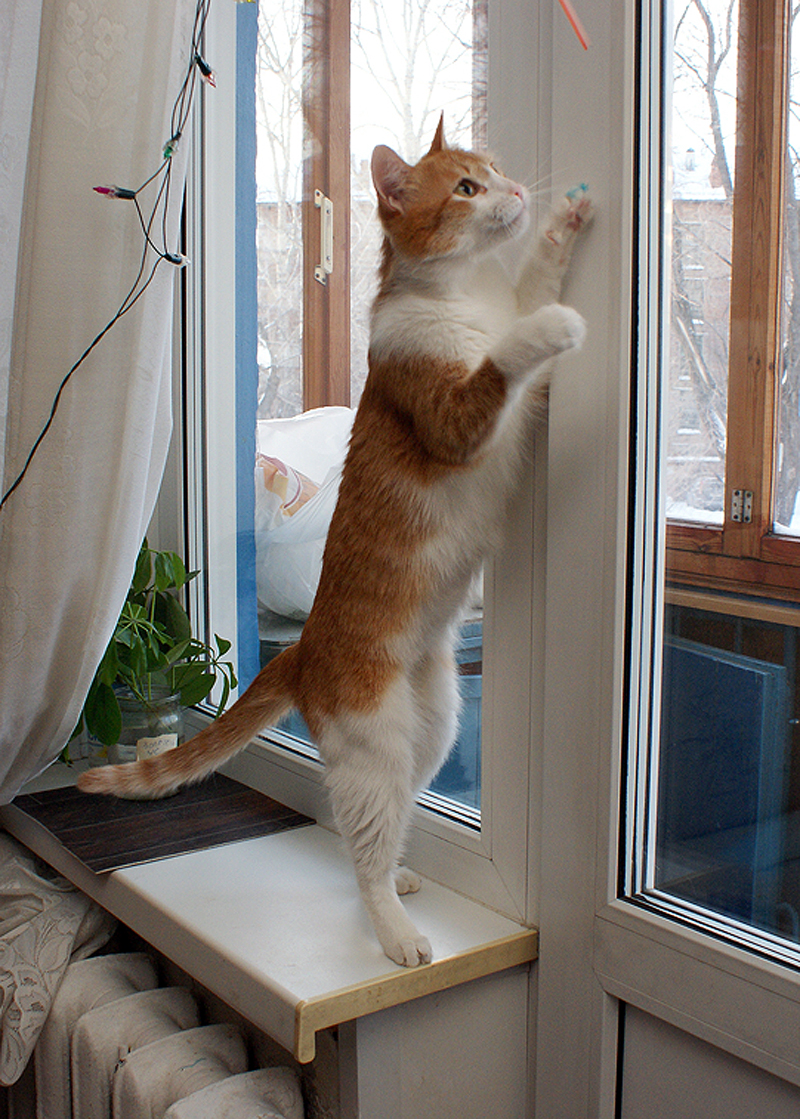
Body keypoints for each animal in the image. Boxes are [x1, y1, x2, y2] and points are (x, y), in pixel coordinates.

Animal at [78, 118, 591, 968]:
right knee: (363, 842)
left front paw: (563, 224)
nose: (517, 189)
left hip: (433, 727)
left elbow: (536, 279)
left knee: (383, 825)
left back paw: (403, 877)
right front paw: (550, 329)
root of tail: (303, 649)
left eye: (494, 168)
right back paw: (395, 928)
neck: (466, 295)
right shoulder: (452, 416)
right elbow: (504, 359)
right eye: (466, 188)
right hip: (375, 741)